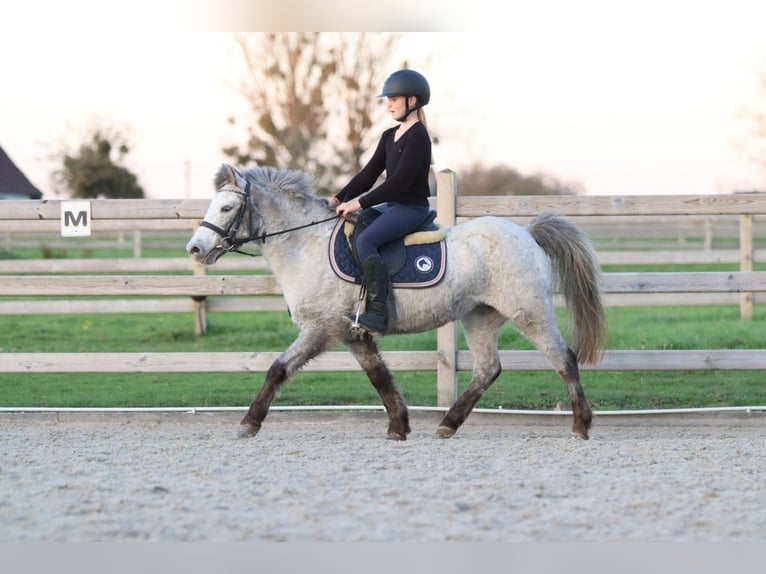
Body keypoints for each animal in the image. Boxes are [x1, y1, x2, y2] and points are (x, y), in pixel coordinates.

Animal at [186, 164, 608, 441]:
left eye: (226, 208)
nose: (195, 249)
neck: (306, 244)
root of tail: (527, 232)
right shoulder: (352, 332)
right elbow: (379, 376)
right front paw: (399, 425)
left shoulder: (323, 327)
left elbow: (278, 369)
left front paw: (249, 423)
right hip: (480, 317)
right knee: (488, 370)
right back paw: (448, 424)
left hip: (530, 313)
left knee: (564, 359)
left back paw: (581, 425)